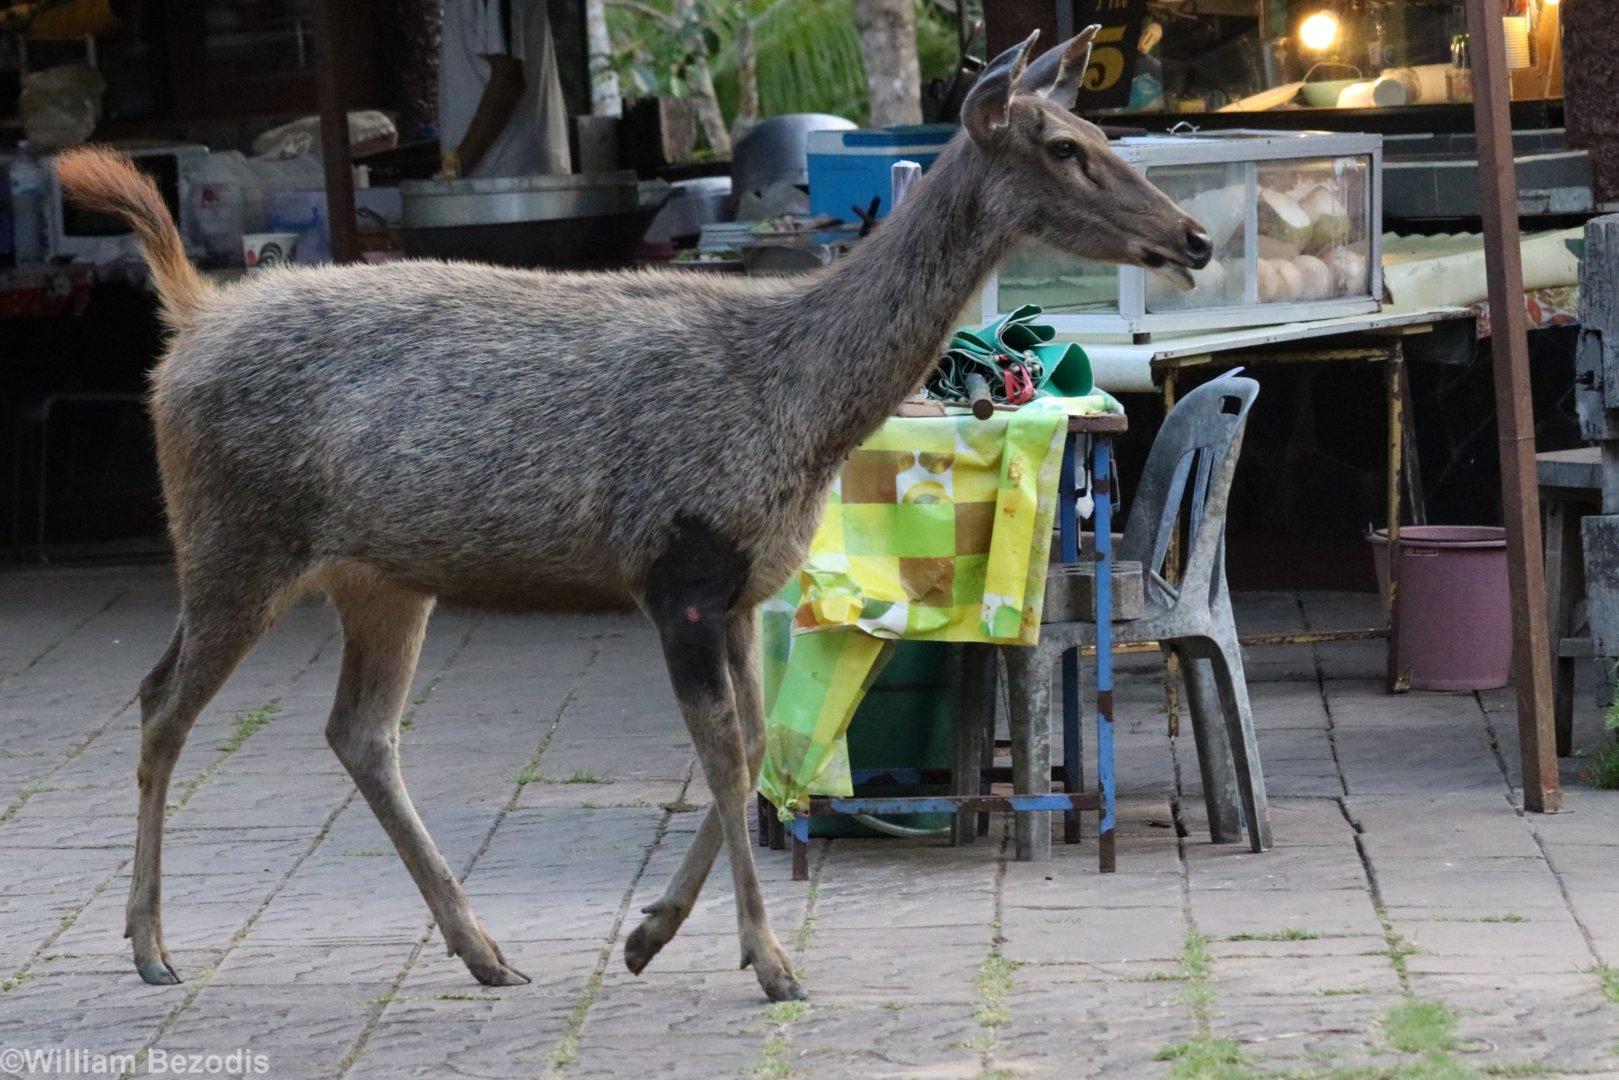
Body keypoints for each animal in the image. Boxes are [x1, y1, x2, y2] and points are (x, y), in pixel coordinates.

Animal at [56, 26, 1209, 1003]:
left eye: (1102, 136)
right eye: (1064, 146)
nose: (1192, 235)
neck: (801, 410)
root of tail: (190, 321)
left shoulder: (742, 585)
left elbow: (757, 745)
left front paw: (652, 935)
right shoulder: (678, 568)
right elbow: (730, 754)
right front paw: (767, 961)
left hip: (381, 575)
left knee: (359, 731)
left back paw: (481, 949)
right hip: (231, 536)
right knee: (161, 702)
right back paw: (151, 946)